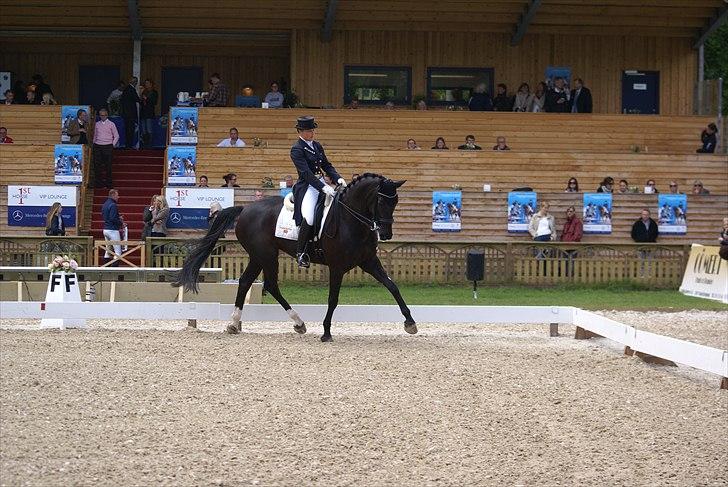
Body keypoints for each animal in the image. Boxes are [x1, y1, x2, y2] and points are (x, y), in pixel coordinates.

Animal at [172, 173, 416, 342]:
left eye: (395, 202)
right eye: (381, 201)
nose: (386, 234)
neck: (350, 220)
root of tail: (245, 209)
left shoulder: (369, 261)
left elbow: (393, 287)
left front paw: (410, 323)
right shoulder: (337, 266)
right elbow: (333, 299)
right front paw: (326, 332)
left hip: (258, 256)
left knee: (245, 282)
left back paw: (235, 324)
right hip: (267, 255)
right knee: (270, 284)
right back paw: (297, 322)